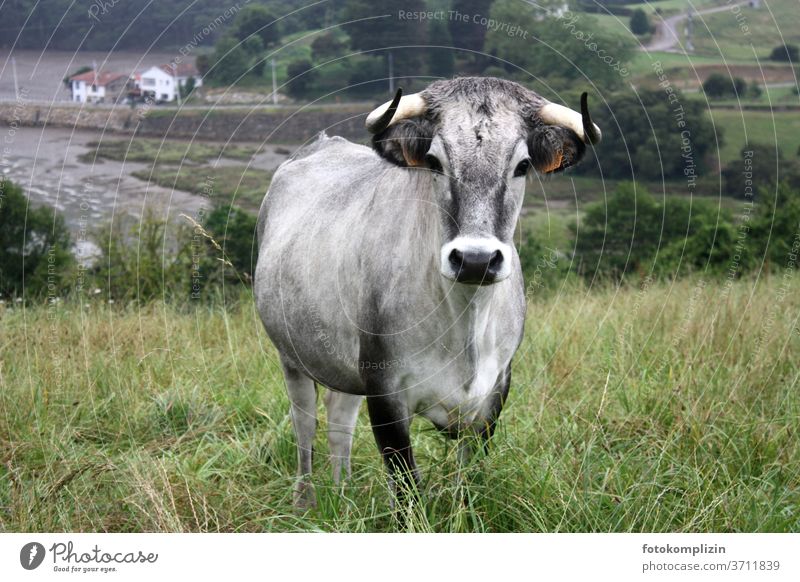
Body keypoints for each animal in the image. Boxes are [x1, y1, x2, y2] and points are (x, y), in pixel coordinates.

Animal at [256, 77, 600, 512]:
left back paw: (344, 495)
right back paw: (306, 502)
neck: (465, 323)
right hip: (292, 357)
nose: (475, 260)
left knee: (339, 421)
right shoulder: (384, 392)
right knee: (305, 427)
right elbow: (407, 488)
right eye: (435, 161)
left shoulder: (494, 393)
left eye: (522, 166)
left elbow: (469, 482)